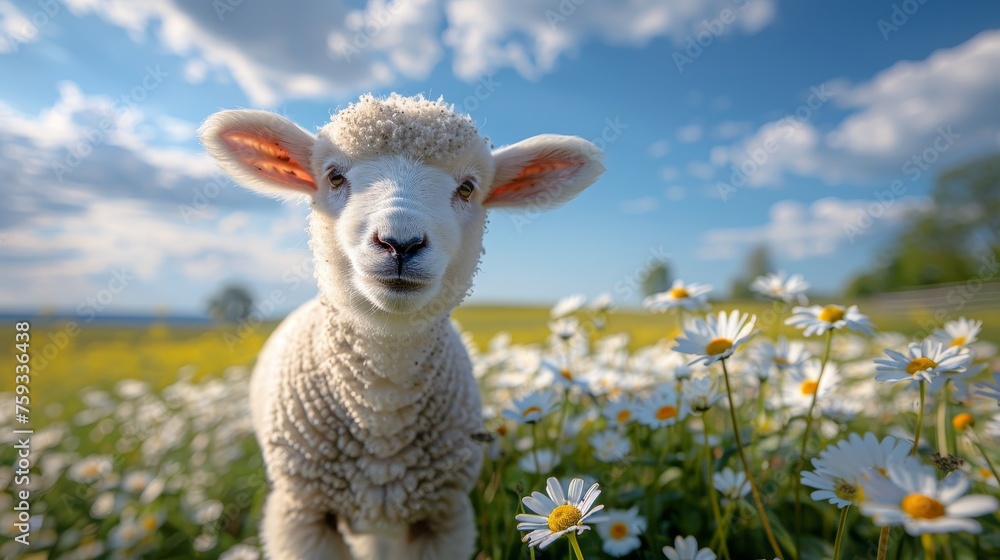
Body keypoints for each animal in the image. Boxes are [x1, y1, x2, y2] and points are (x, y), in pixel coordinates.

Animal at [199, 93, 605, 560]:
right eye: (334, 176)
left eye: (468, 188)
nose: (400, 243)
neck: (382, 401)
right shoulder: (304, 515)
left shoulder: (443, 517)